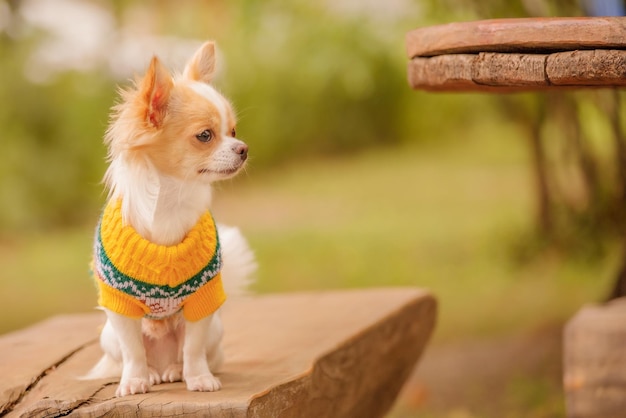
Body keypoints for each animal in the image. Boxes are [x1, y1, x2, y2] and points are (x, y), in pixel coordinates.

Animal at [86, 40, 256, 396]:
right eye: (205, 135)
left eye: (233, 131)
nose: (244, 148)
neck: (171, 200)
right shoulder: (119, 308)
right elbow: (133, 350)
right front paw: (135, 380)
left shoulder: (202, 301)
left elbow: (193, 347)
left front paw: (199, 377)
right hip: (107, 335)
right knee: (133, 354)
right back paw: (152, 373)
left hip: (217, 328)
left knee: (188, 353)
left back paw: (175, 371)